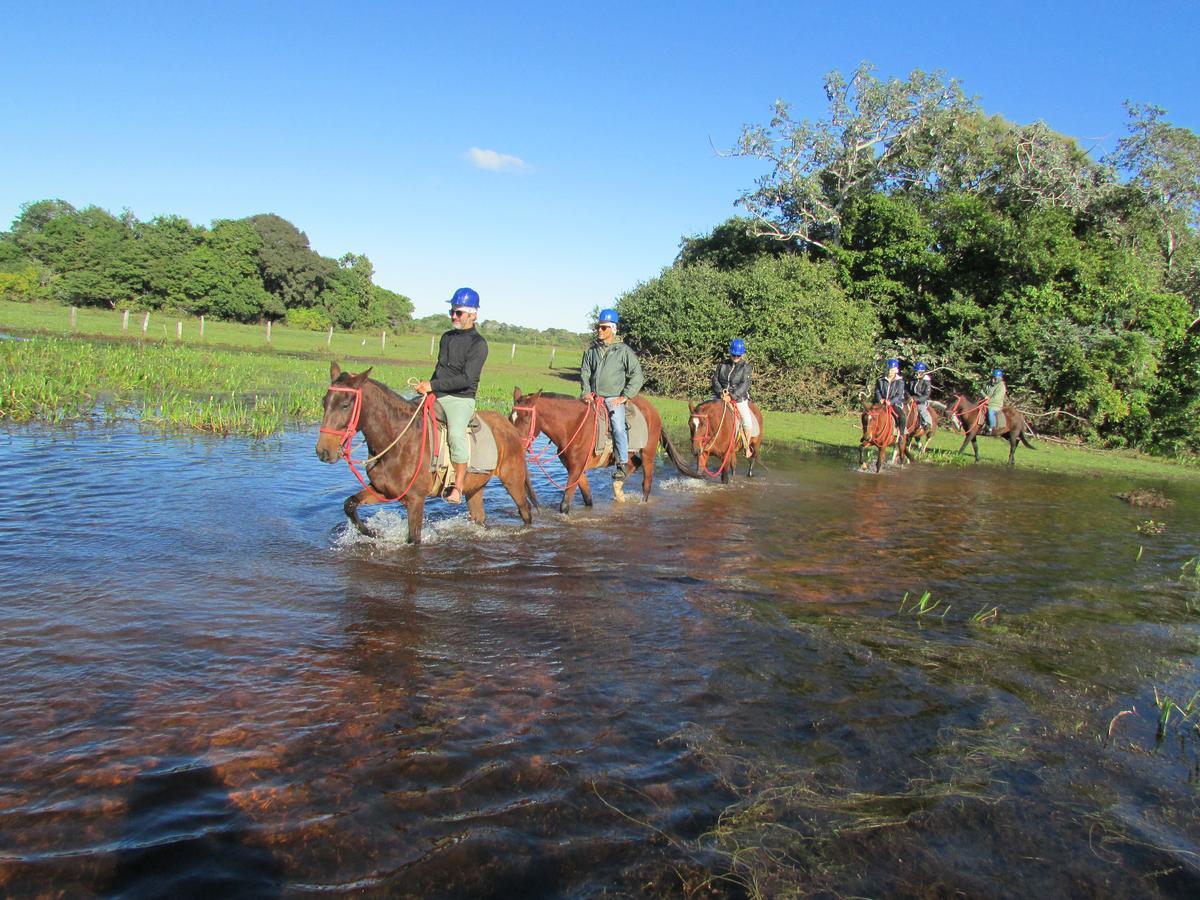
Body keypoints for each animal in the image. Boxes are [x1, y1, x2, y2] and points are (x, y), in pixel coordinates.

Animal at [314, 364, 535, 547]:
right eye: (324, 402)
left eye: (345, 405)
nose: (323, 451)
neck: (398, 440)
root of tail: (510, 427)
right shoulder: (383, 491)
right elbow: (350, 504)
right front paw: (374, 533)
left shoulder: (416, 500)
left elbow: (414, 539)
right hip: (475, 487)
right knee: (479, 517)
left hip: (513, 479)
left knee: (525, 511)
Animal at [511, 388, 700, 513]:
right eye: (510, 417)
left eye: (526, 417)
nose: (515, 443)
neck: (573, 426)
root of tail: (653, 411)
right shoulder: (577, 470)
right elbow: (588, 499)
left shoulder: (575, 469)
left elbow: (564, 505)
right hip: (629, 455)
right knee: (633, 464)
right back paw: (619, 490)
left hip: (649, 452)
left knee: (646, 483)